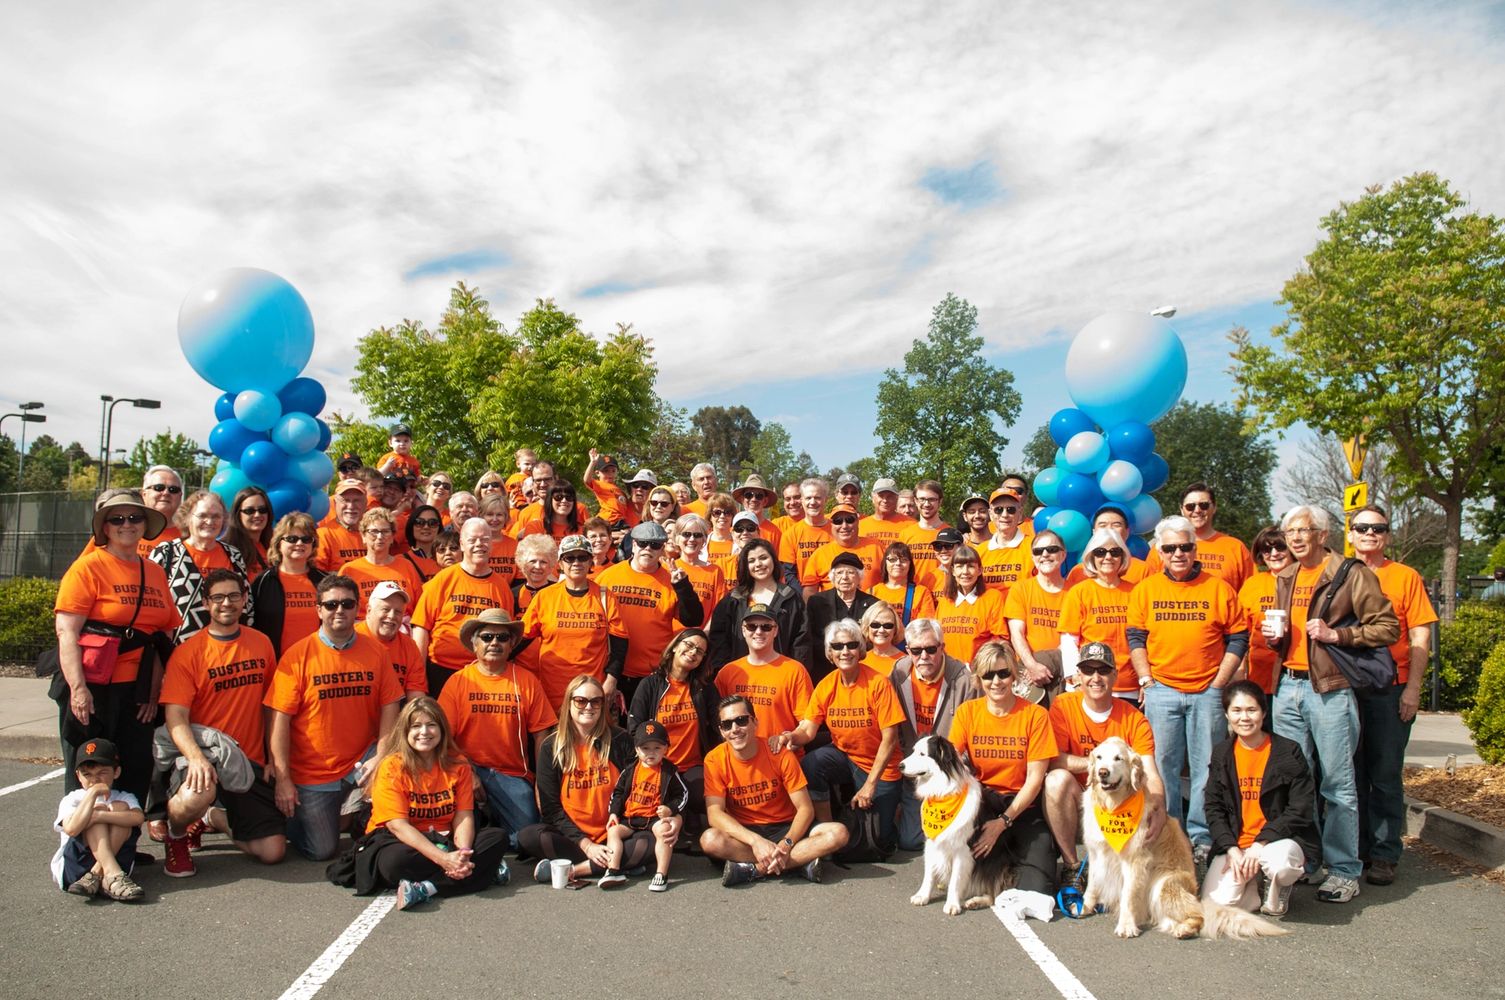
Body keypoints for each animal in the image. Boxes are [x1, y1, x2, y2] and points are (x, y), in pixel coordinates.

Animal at [896, 734, 1017, 915]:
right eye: (914, 751)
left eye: (923, 754)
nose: (900, 766)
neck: (943, 792)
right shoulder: (932, 842)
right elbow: (929, 873)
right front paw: (922, 896)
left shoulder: (963, 849)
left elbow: (955, 878)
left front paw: (952, 904)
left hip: (1001, 864)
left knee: (997, 894)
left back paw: (976, 901)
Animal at [1083, 734, 1282, 939]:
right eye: (1099, 757)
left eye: (1118, 758)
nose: (1103, 773)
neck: (1113, 806)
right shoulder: (1096, 852)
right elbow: (1092, 882)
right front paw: (1085, 905)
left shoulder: (1135, 859)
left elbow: (1128, 896)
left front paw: (1126, 925)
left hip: (1164, 885)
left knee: (1198, 915)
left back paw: (1185, 929)